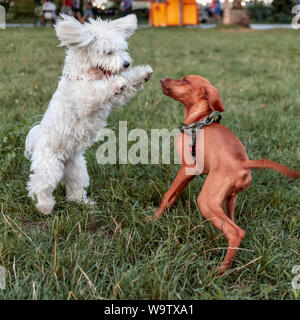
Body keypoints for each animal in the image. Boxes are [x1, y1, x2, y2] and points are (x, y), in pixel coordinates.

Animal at [24, 14, 152, 215]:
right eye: (108, 52)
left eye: (122, 50)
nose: (126, 64)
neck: (87, 75)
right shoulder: (85, 98)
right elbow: (99, 90)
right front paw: (117, 82)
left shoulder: (114, 101)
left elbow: (129, 84)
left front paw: (143, 73)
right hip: (49, 168)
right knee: (39, 186)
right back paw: (43, 206)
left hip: (77, 170)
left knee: (75, 189)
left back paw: (83, 203)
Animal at [151, 75, 298, 272]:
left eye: (184, 80)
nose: (160, 79)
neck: (199, 120)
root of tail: (242, 162)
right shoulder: (191, 174)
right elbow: (173, 196)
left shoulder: (187, 168)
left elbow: (167, 195)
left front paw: (152, 219)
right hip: (228, 199)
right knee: (231, 226)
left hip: (206, 200)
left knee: (236, 232)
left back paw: (220, 271)